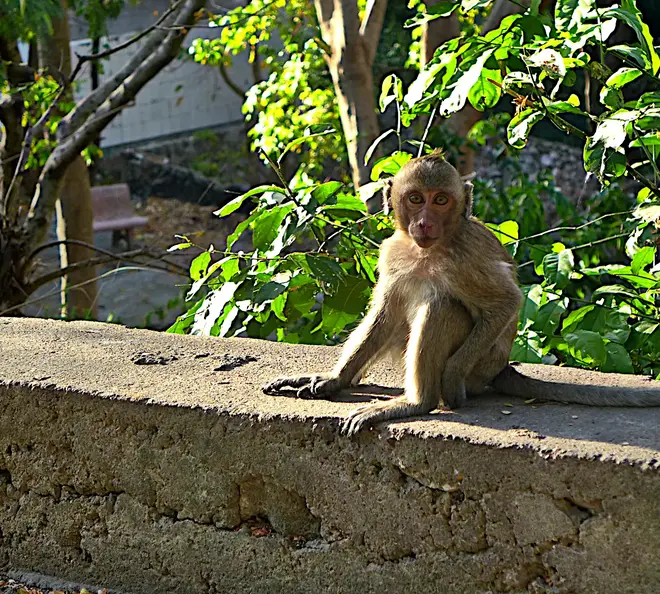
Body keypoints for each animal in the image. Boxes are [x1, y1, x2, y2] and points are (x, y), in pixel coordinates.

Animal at [263, 151, 660, 435]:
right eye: (415, 198)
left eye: (440, 200)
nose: (424, 223)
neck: (428, 250)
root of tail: (501, 368)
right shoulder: (392, 252)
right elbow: (385, 314)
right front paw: (334, 380)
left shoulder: (465, 258)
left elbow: (506, 303)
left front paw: (450, 381)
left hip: (481, 367)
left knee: (443, 306)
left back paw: (418, 402)